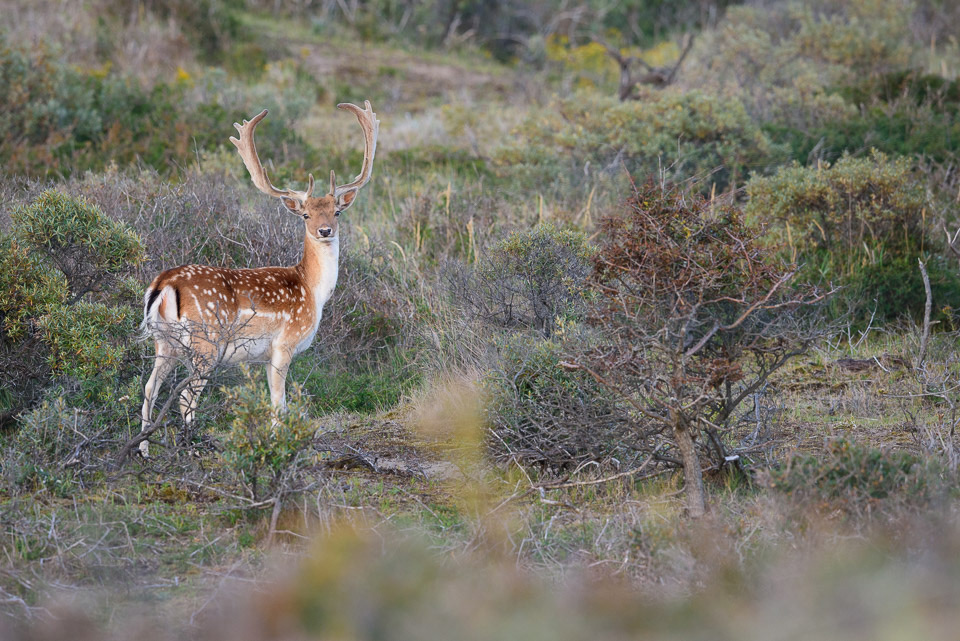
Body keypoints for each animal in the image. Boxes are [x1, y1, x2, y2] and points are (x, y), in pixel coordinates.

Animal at [139, 101, 378, 456]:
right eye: (305, 214)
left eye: (336, 211)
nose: (325, 230)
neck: (313, 291)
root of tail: (163, 284)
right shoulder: (285, 343)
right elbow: (279, 402)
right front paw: (280, 445)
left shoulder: (264, 356)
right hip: (205, 343)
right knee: (185, 396)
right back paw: (192, 449)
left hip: (163, 341)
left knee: (149, 387)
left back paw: (142, 450)